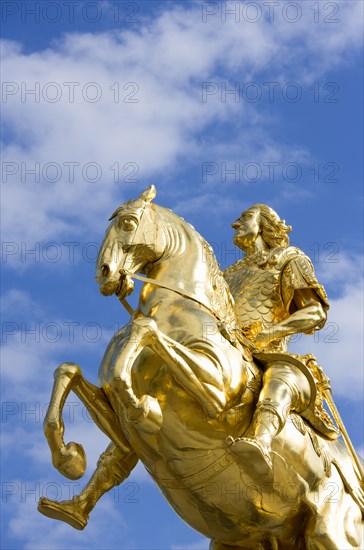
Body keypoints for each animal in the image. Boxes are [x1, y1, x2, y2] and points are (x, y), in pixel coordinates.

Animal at [38, 187, 362, 550]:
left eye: (128, 222)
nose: (105, 273)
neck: (177, 307)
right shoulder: (116, 424)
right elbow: (68, 372)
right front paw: (68, 457)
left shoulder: (217, 393)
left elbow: (145, 330)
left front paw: (143, 408)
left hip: (329, 532)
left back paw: (253, 450)